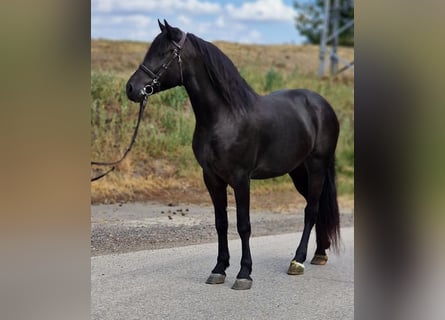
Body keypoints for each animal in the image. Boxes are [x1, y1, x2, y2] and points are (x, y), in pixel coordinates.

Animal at [125, 20, 340, 290]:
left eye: (166, 52)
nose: (131, 88)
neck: (226, 117)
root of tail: (322, 105)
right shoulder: (212, 178)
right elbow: (221, 223)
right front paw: (219, 269)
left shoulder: (241, 179)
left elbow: (243, 225)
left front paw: (244, 273)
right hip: (298, 172)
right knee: (318, 207)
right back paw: (319, 254)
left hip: (317, 167)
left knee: (311, 210)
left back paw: (298, 261)